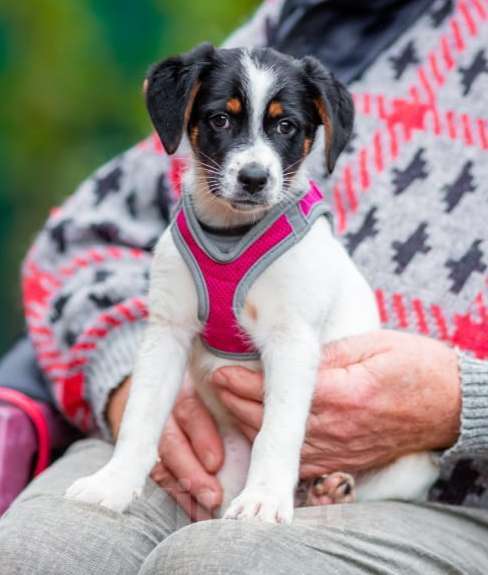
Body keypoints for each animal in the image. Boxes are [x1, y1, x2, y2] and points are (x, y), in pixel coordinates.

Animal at [66, 42, 438, 524]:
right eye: (220, 119)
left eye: (286, 126)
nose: (255, 179)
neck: (231, 233)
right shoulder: (168, 330)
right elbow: (141, 416)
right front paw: (112, 483)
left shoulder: (292, 340)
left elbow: (277, 431)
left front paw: (263, 499)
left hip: (412, 467)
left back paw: (328, 490)